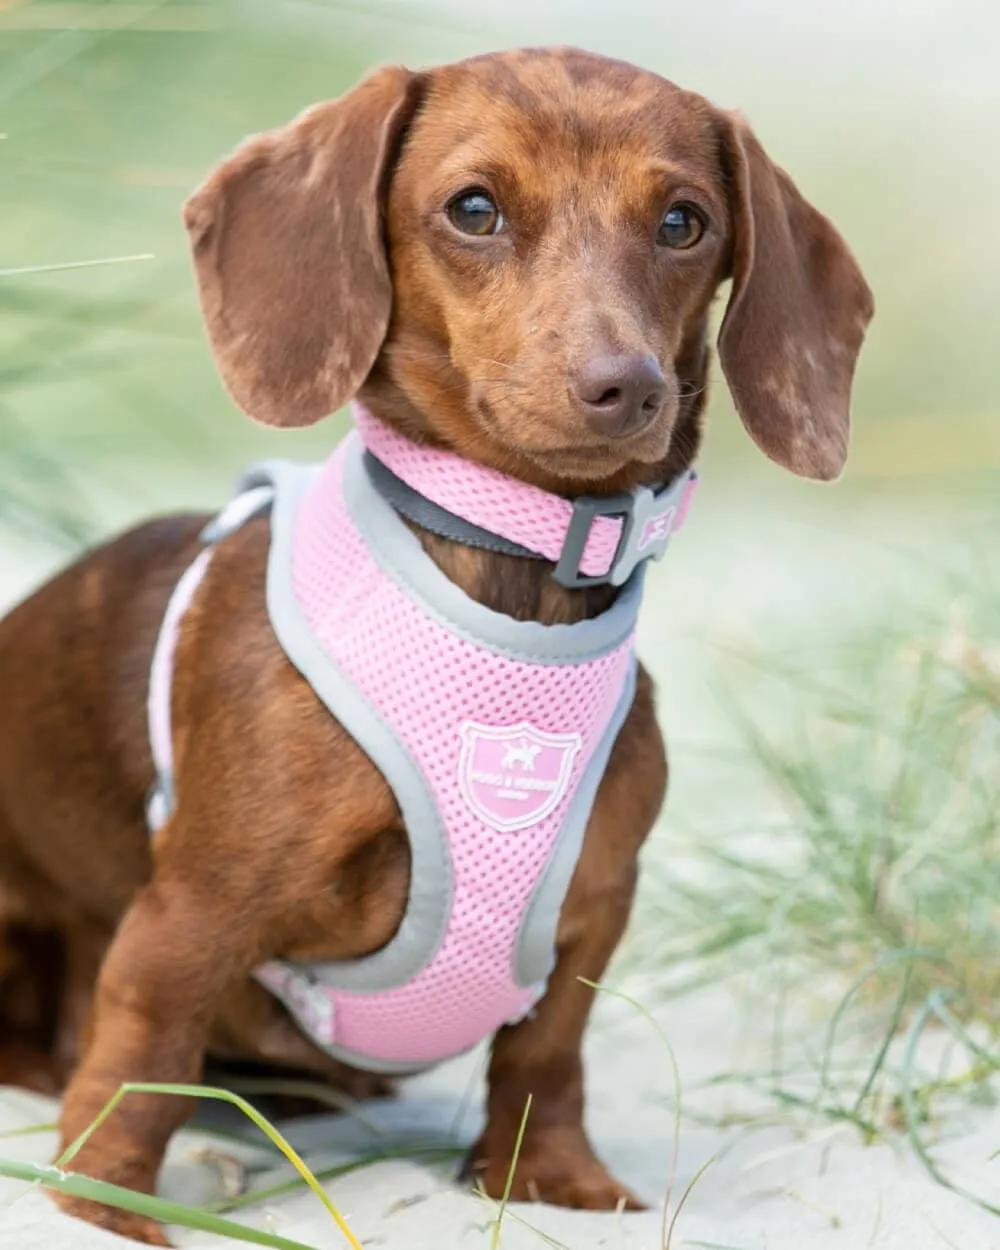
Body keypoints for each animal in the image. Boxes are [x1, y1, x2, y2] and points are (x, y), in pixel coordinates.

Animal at [0, 46, 870, 1240]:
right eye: (473, 208)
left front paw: (549, 1179)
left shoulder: (593, 913)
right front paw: (107, 1199)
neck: (515, 577)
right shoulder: (193, 910)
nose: (626, 386)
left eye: (684, 222)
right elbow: (146, 1048)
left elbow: (546, 1057)